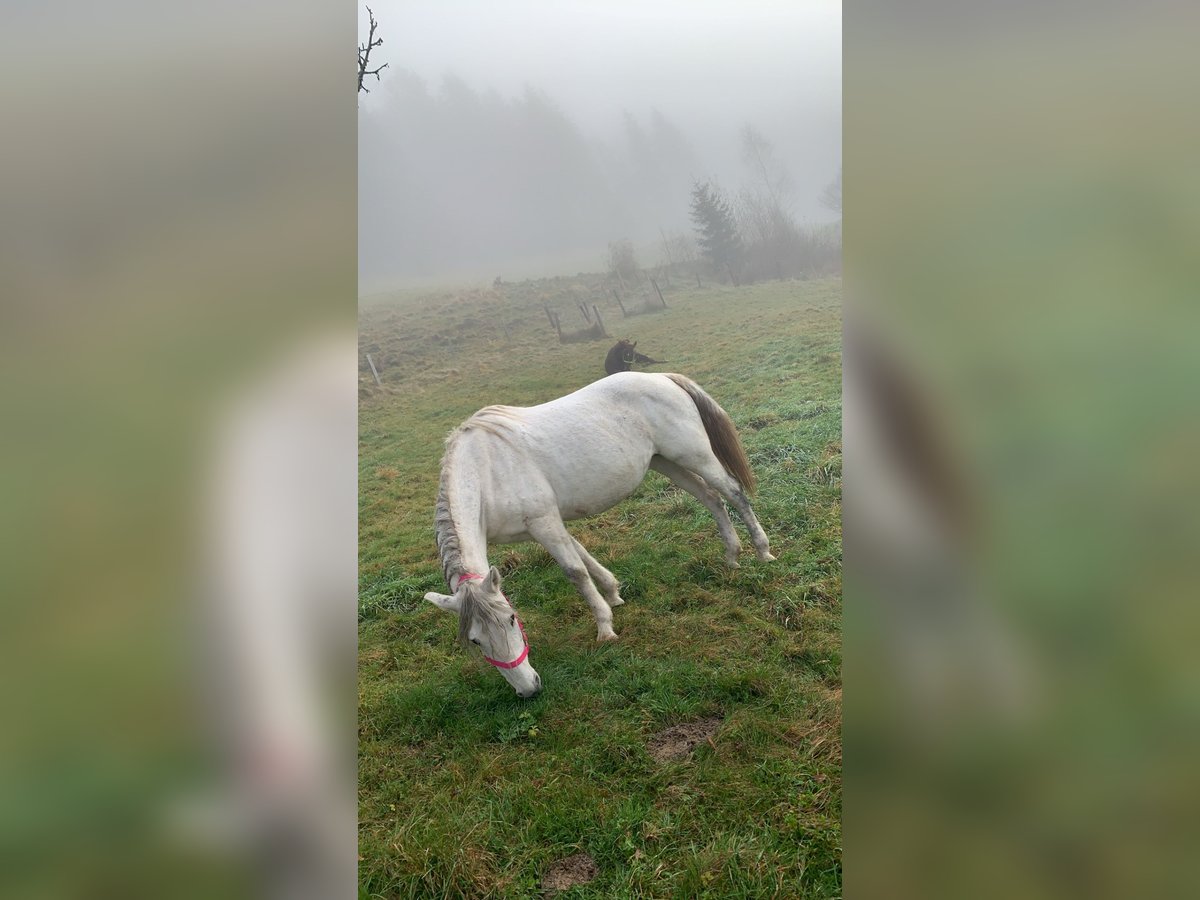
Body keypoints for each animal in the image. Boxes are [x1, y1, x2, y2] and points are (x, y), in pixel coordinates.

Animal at [427, 372, 772, 696]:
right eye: (476, 640)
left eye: (511, 619)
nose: (528, 689)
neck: (488, 471)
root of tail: (662, 378)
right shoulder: (543, 527)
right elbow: (583, 557)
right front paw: (613, 593)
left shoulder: (544, 522)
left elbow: (575, 572)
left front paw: (605, 627)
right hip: (666, 462)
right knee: (711, 498)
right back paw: (731, 556)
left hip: (695, 456)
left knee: (733, 493)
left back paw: (762, 550)